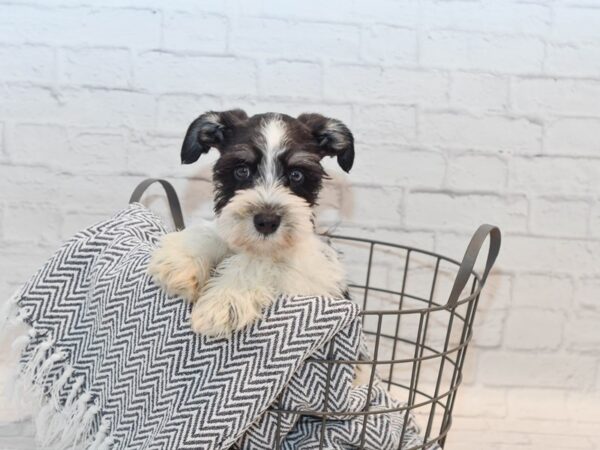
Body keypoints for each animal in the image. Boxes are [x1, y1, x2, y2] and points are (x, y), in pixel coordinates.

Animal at [148, 110, 354, 338]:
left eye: (296, 175)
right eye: (242, 171)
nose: (266, 222)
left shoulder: (311, 277)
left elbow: (261, 262)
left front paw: (224, 300)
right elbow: (215, 232)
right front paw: (180, 261)